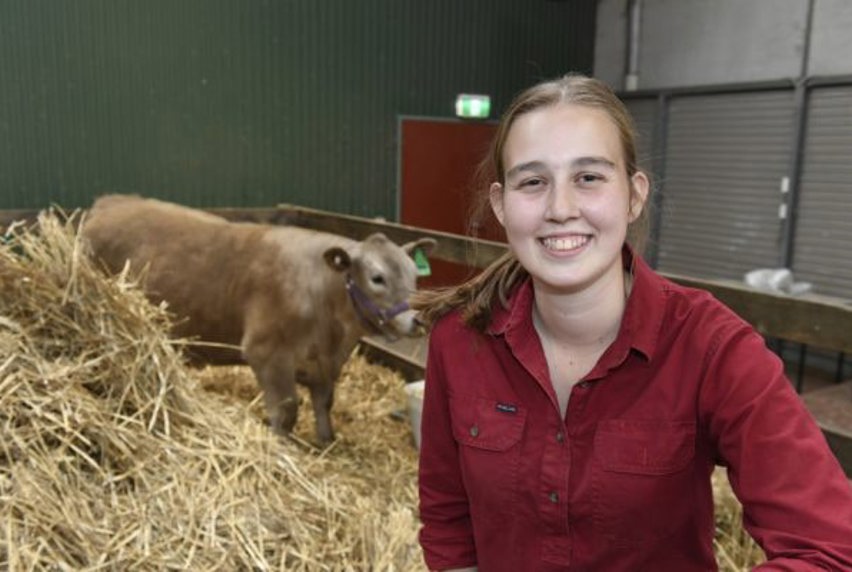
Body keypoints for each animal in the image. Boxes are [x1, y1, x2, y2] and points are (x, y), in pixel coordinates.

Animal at [82, 194, 436, 444]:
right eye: (377, 278)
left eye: (414, 274)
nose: (417, 321)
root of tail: (108, 203)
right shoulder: (267, 353)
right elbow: (287, 410)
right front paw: (280, 447)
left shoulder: (324, 366)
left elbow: (324, 404)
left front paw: (326, 441)